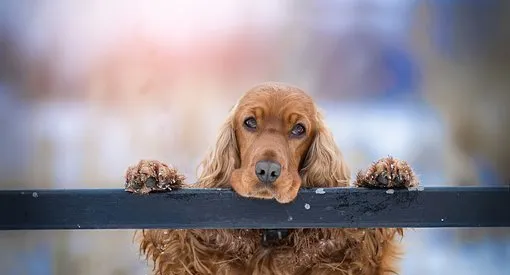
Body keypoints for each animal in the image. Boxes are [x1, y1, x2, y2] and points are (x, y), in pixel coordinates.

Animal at [123, 82, 418, 275]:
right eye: (250, 122)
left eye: (299, 129)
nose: (267, 170)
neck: (270, 233)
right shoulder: (197, 260)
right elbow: (176, 238)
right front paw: (152, 172)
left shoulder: (348, 260)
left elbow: (365, 240)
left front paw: (385, 172)